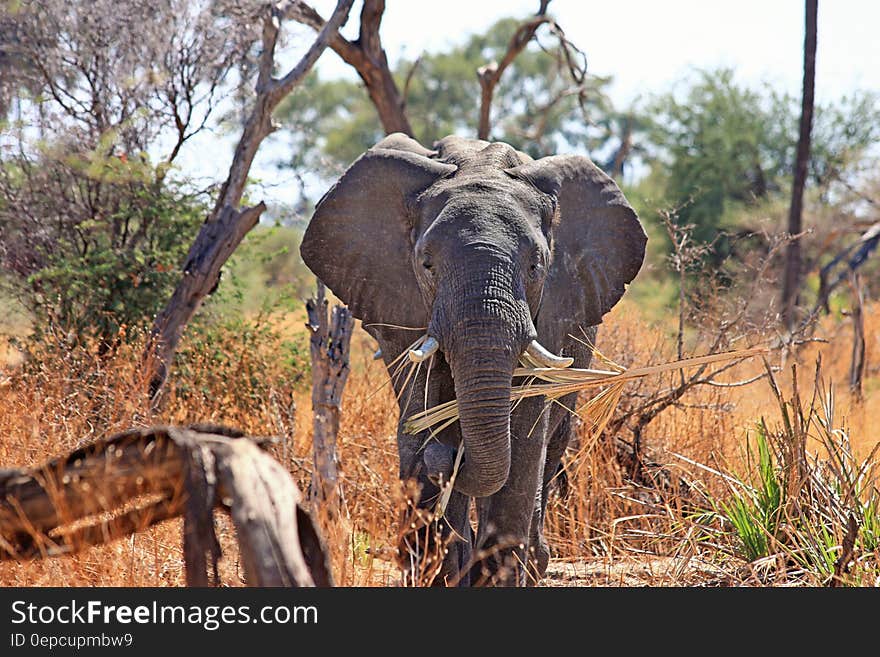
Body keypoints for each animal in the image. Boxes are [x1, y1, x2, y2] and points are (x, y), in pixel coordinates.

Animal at [302, 132, 648, 584]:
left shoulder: (552, 311)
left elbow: (524, 435)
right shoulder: (402, 305)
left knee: (551, 446)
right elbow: (421, 408)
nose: (450, 456)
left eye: (536, 266)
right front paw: (437, 568)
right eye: (427, 264)